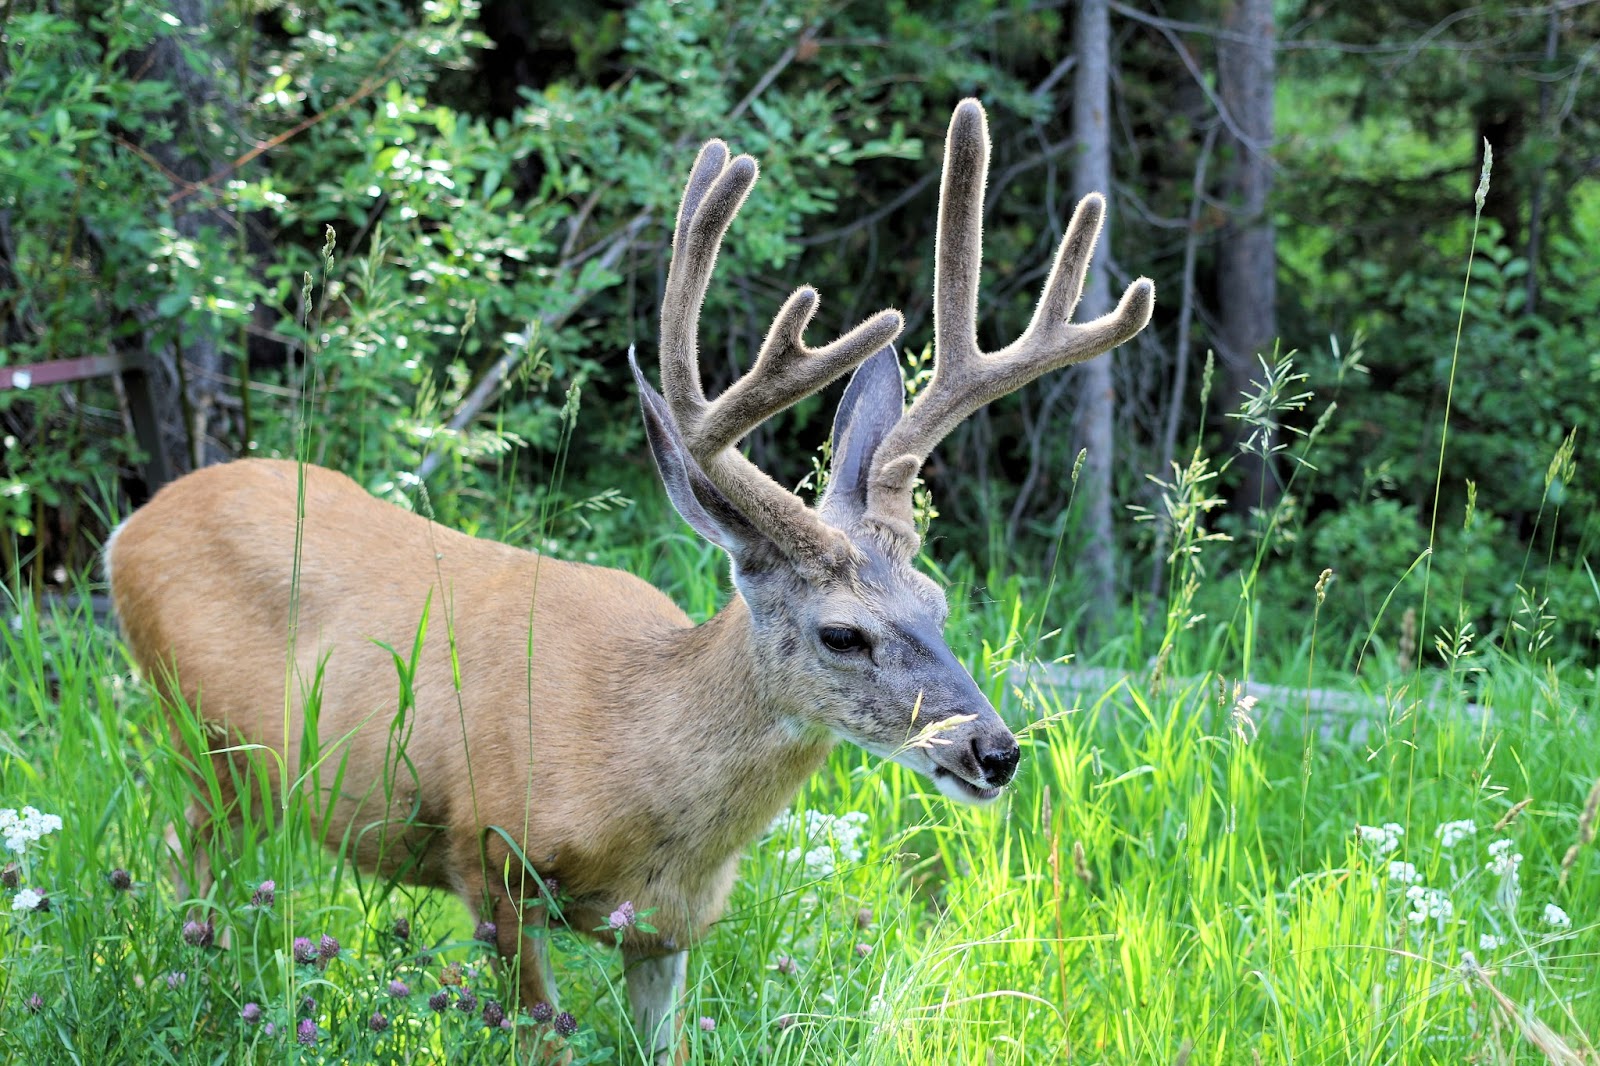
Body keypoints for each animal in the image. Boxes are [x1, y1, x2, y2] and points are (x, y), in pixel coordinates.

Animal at [105, 98, 1153, 1061]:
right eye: (841, 632)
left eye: (938, 602)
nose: (994, 751)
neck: (630, 759)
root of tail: (133, 526)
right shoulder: (490, 861)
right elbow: (542, 1035)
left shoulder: (671, 928)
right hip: (205, 742)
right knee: (179, 864)